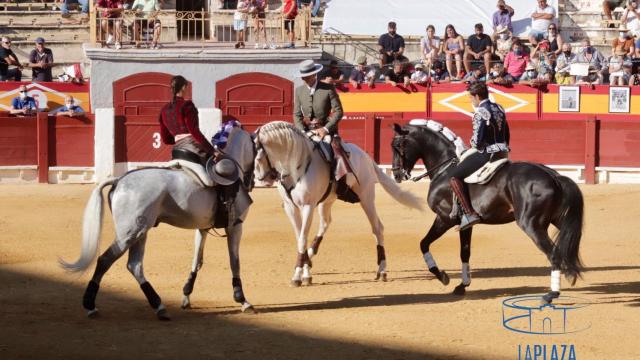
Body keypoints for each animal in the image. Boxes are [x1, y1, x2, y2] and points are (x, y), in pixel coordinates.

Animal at [59, 126, 255, 318]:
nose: (252, 181)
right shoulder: (235, 226)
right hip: (128, 233)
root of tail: (118, 180)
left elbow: (197, 260)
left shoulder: (203, 227)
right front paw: (243, 300)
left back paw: (159, 306)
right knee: (105, 260)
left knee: (134, 265)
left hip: (140, 232)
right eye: (255, 150)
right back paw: (90, 305)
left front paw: (186, 296)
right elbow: (234, 260)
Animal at [252, 122, 422, 286]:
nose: (262, 180)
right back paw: (311, 257)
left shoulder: (307, 206)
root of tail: (366, 157)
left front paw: (298, 276)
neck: (297, 165)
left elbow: (302, 239)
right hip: (327, 200)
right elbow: (301, 237)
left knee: (377, 228)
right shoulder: (290, 207)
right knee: (326, 222)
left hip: (366, 197)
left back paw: (382, 271)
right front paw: (306, 273)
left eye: (258, 158)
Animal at [390, 122, 584, 302]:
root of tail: (553, 176)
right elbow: (464, 252)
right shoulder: (465, 224)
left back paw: (552, 293)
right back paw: (570, 274)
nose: (397, 175)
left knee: (554, 253)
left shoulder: (445, 219)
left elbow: (423, 243)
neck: (443, 170)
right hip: (558, 219)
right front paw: (462, 286)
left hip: (531, 224)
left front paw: (442, 276)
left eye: (397, 144)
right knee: (566, 245)